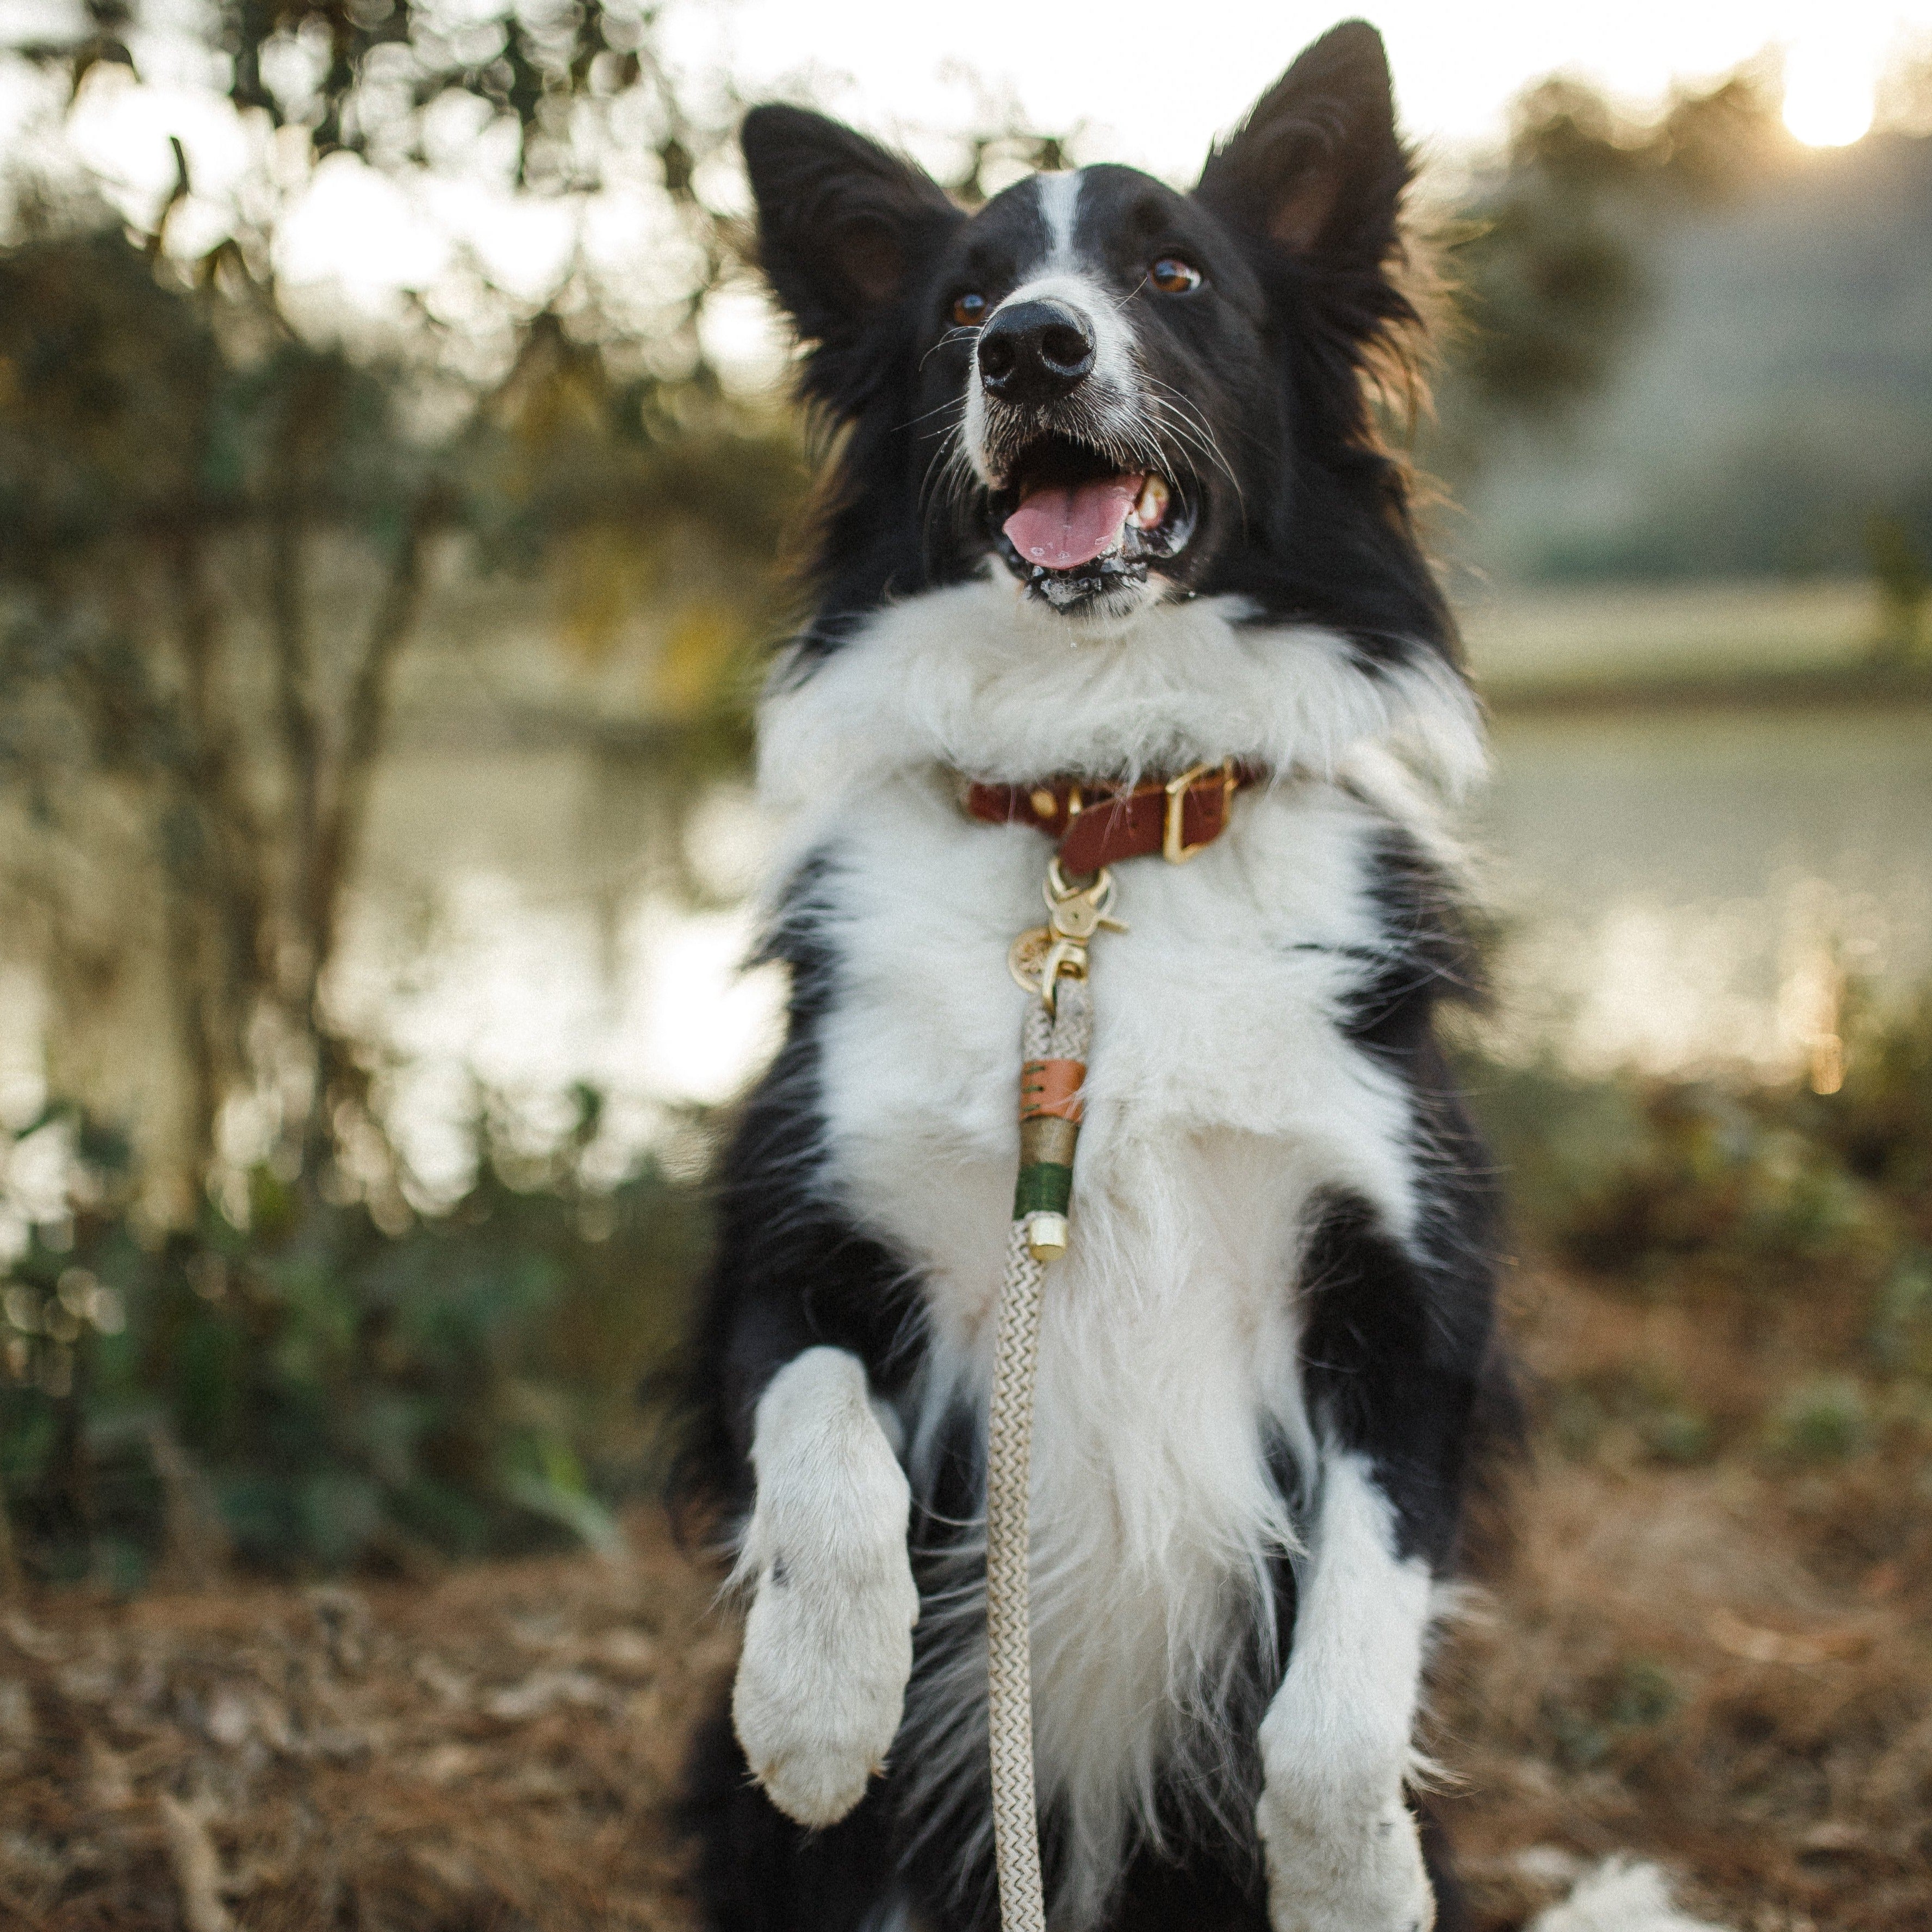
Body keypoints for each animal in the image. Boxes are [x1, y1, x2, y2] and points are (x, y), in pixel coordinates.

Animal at [680, 18, 1507, 1932]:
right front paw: (814, 1704)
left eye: (1174, 276)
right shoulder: (786, 1230)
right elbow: (819, 1440)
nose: (1032, 348)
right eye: (962, 304)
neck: (1097, 806)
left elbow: (1343, 1685)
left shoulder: (1407, 1308)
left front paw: (1357, 1883)